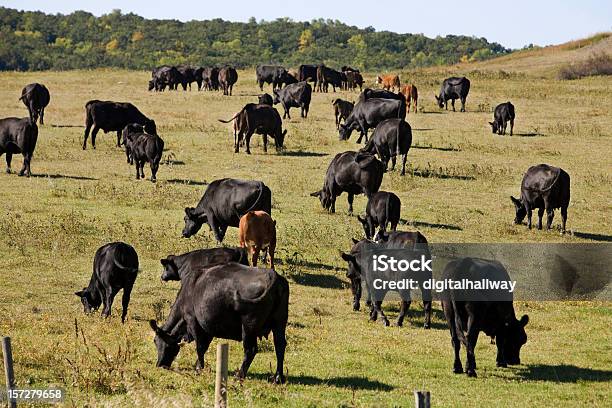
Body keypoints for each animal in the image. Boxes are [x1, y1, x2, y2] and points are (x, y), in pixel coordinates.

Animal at [149, 262, 290, 384]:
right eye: (155, 342)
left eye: (164, 344)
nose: (160, 364)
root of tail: (273, 275)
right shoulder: (208, 328)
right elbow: (204, 347)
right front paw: (198, 365)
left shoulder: (193, 322)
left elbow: (200, 347)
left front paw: (199, 368)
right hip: (280, 322)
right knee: (280, 346)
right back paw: (278, 377)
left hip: (249, 327)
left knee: (251, 350)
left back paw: (239, 375)